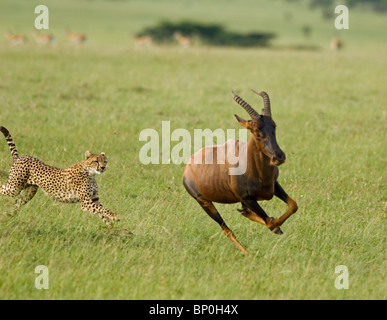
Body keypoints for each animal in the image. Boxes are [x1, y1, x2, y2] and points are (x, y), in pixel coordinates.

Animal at [183, 89, 298, 252]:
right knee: (227, 230)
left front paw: (277, 226)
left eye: (274, 126)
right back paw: (247, 253)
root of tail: (188, 165)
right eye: (255, 131)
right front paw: (276, 227)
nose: (278, 157)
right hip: (204, 202)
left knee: (244, 213)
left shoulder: (274, 186)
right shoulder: (247, 198)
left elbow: (293, 205)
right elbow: (270, 223)